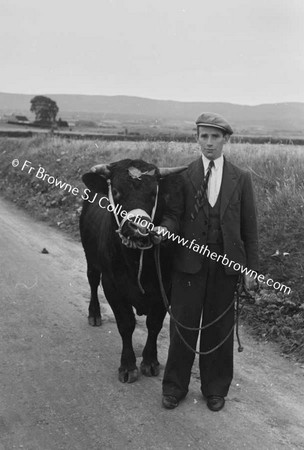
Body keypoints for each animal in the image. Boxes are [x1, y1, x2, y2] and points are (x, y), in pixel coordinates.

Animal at [79, 160, 185, 382]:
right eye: (116, 192)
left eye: (153, 194)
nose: (138, 227)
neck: (137, 261)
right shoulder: (112, 286)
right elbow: (126, 324)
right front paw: (127, 366)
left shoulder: (165, 288)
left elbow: (154, 324)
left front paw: (150, 362)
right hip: (90, 257)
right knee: (92, 281)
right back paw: (94, 314)